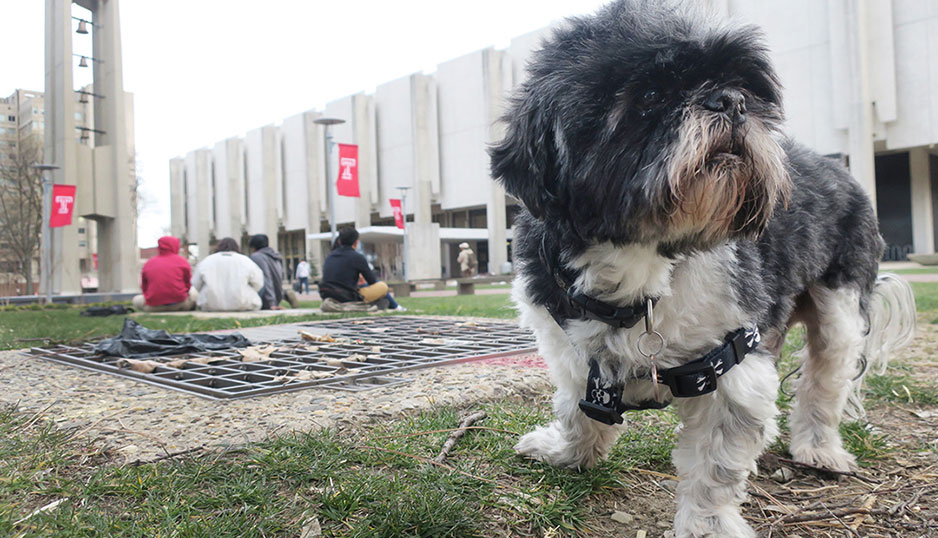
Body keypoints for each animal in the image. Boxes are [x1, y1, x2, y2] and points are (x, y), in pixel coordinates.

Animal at [490, 2, 916, 532]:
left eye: (746, 91)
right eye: (651, 94)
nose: (730, 101)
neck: (647, 266)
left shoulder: (732, 365)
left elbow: (717, 464)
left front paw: (708, 525)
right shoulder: (568, 348)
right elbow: (576, 407)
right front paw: (567, 452)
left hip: (840, 305)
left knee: (826, 381)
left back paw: (819, 448)